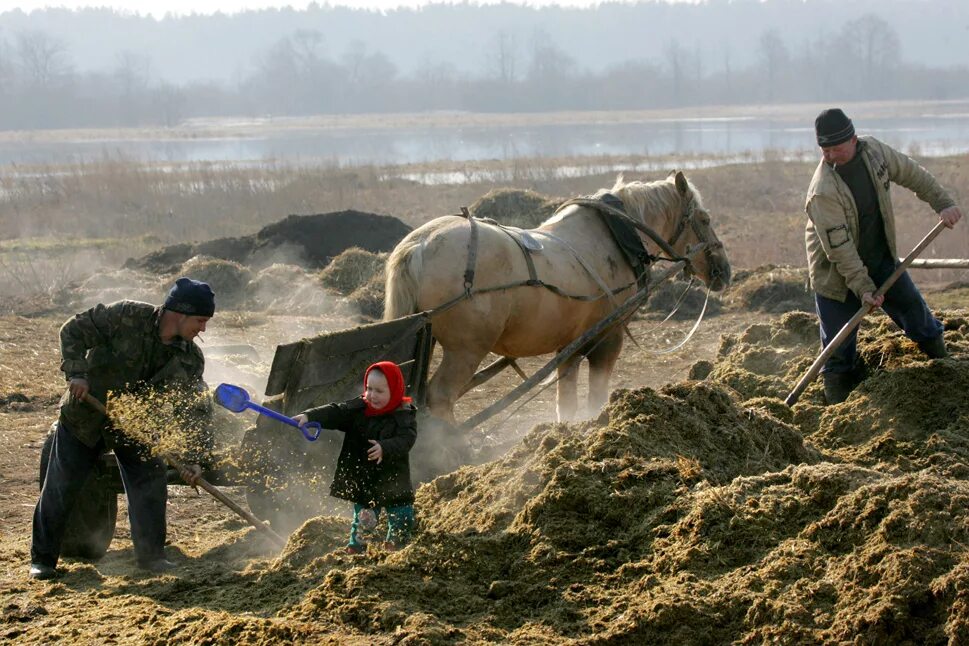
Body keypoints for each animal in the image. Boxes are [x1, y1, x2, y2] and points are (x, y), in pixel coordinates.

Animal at [382, 172, 728, 426]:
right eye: (705, 219)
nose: (724, 271)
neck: (614, 239)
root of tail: (420, 245)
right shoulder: (608, 338)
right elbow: (596, 396)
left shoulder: (569, 345)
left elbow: (567, 401)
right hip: (466, 349)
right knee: (440, 397)